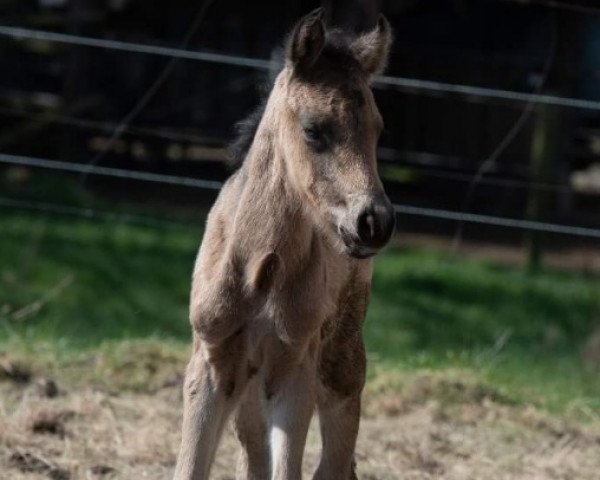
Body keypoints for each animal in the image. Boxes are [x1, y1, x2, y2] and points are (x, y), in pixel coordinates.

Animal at [173, 8, 396, 480]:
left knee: (334, 461)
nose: (374, 222)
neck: (259, 265)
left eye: (378, 129)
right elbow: (190, 467)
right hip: (249, 386)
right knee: (254, 456)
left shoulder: (296, 371)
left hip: (341, 362)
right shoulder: (210, 363)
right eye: (313, 130)